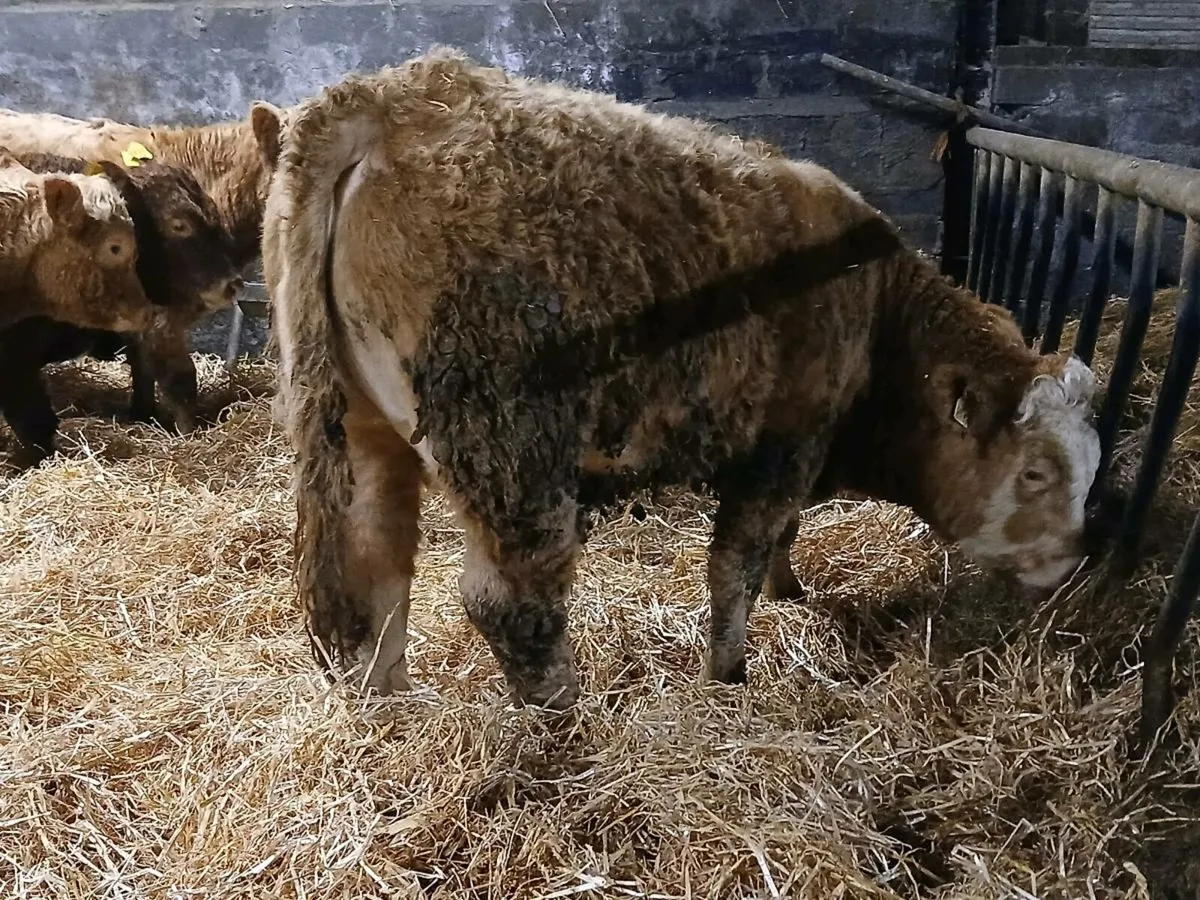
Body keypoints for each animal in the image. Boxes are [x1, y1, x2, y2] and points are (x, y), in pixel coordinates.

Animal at [253, 48, 1102, 712]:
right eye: (1034, 471)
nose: (1076, 558)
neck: (875, 307)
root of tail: (397, 97)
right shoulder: (785, 441)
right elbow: (736, 563)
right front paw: (729, 673)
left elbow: (779, 541)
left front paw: (788, 592)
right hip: (512, 451)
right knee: (513, 601)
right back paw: (566, 715)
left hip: (358, 429)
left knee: (369, 573)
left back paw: (391, 711)